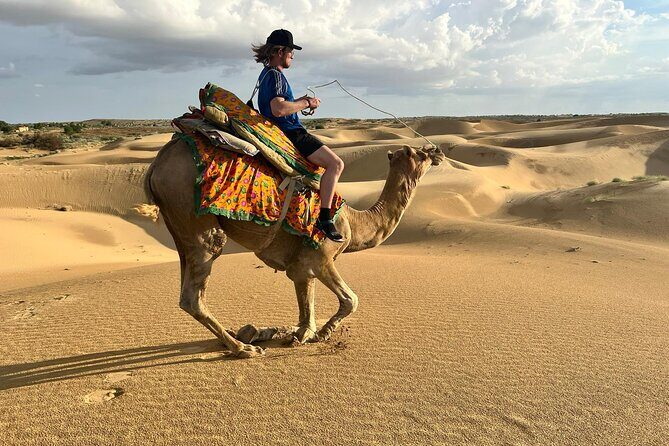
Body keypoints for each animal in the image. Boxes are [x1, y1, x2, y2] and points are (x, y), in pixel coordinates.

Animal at [143, 138, 445, 358]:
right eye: (419, 154)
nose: (438, 151)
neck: (354, 221)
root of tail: (156, 166)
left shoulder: (300, 267)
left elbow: (305, 304)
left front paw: (300, 334)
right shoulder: (320, 257)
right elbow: (351, 299)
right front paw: (323, 333)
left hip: (178, 226)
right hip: (197, 220)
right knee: (194, 292)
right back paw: (243, 349)